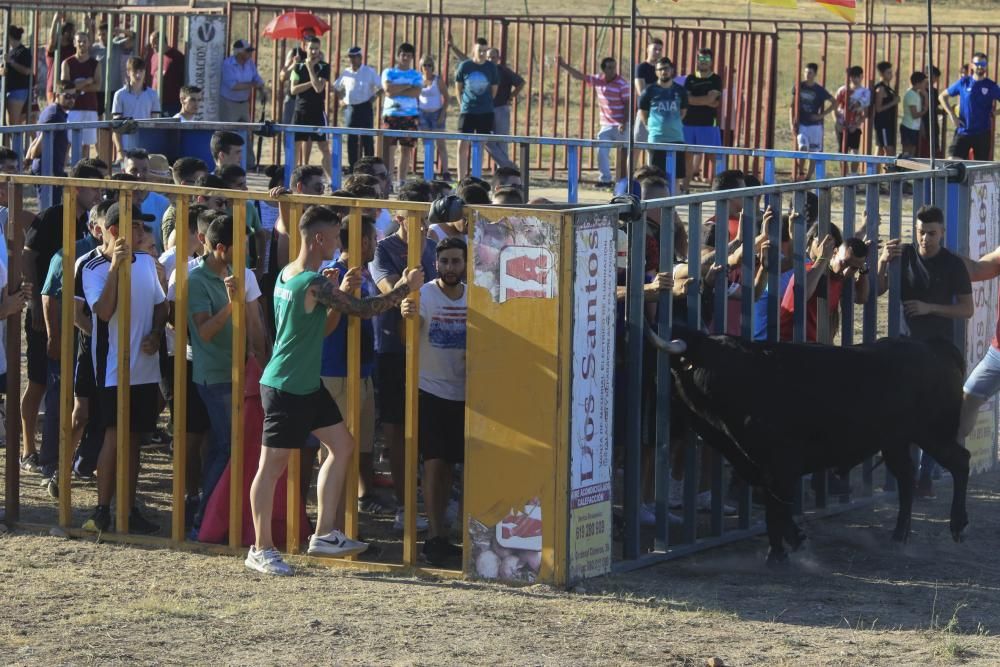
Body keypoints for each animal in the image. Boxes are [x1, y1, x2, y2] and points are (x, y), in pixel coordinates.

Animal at [656, 328, 968, 564]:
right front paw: (794, 541)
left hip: (931, 434)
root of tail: (933, 346)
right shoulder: (757, 465)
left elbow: (776, 507)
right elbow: (777, 505)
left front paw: (777, 554)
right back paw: (899, 536)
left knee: (960, 461)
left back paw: (957, 526)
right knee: (906, 479)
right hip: (895, 443)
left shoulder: (780, 463)